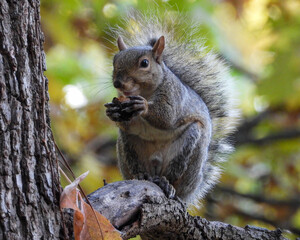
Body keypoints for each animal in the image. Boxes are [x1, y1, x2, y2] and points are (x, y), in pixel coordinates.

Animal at [105, 13, 239, 204]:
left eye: (144, 63)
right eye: (114, 61)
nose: (118, 83)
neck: (144, 92)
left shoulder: (174, 96)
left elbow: (167, 117)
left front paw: (143, 106)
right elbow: (129, 124)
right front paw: (112, 112)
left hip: (190, 147)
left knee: (174, 177)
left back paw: (167, 183)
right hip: (129, 148)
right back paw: (142, 176)